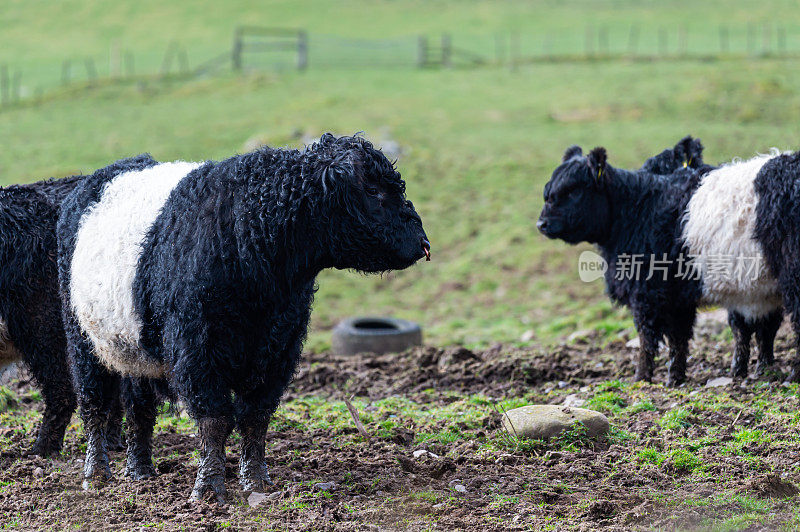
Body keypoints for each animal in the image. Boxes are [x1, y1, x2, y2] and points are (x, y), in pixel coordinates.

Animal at [59, 134, 432, 502]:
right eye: (373, 190)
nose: (424, 243)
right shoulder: (196, 350)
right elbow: (215, 419)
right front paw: (209, 488)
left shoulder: (279, 349)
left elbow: (255, 417)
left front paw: (256, 481)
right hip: (82, 341)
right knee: (93, 405)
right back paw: (96, 474)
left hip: (136, 349)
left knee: (139, 407)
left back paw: (140, 471)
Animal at [540, 145, 796, 384]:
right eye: (548, 191)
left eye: (573, 190)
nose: (541, 223)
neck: (637, 210)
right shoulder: (682, 297)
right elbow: (682, 338)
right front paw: (677, 377)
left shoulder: (648, 293)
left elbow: (649, 338)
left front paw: (642, 377)